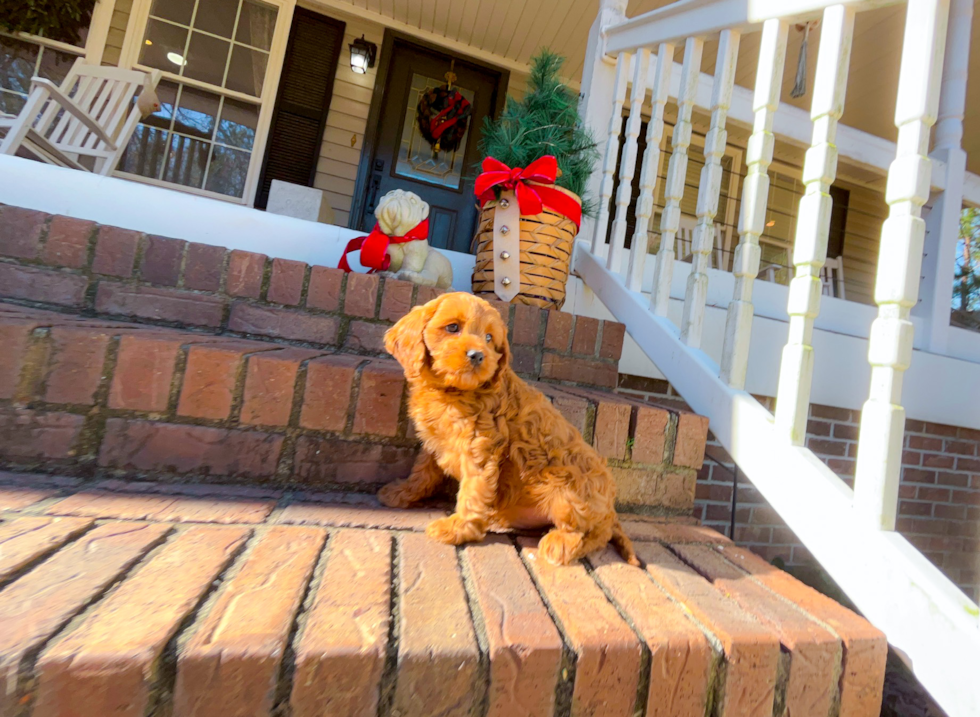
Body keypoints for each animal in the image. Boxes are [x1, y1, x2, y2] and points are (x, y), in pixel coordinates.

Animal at [378, 290, 644, 564]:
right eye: (452, 327)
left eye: (488, 338)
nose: (478, 355)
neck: (452, 391)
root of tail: (611, 511)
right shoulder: (436, 441)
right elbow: (422, 472)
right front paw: (402, 492)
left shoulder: (480, 446)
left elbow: (472, 490)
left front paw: (458, 528)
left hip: (569, 488)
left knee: (593, 533)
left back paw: (559, 544)